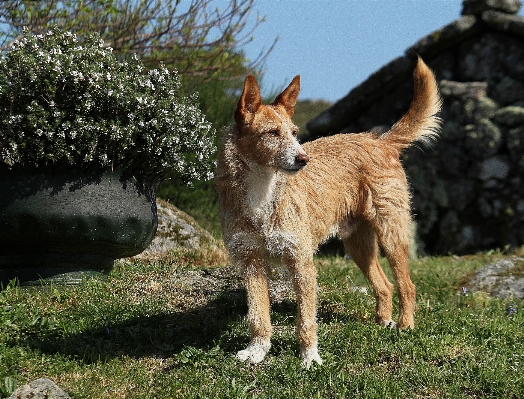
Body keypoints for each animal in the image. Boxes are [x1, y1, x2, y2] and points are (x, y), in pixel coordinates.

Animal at [216, 57, 442, 368]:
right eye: (272, 133)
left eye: (295, 133)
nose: (304, 159)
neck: (263, 192)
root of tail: (379, 140)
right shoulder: (251, 262)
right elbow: (258, 316)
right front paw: (257, 350)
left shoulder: (301, 263)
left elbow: (305, 321)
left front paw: (310, 357)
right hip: (358, 246)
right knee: (384, 285)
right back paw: (383, 322)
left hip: (391, 235)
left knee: (407, 286)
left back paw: (405, 326)